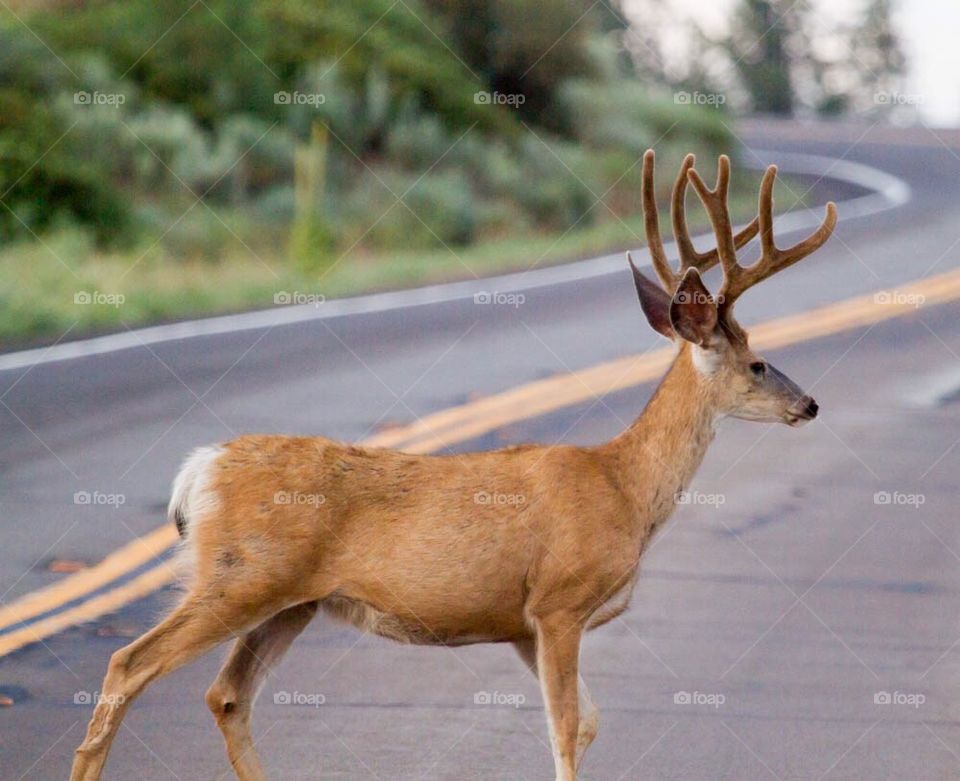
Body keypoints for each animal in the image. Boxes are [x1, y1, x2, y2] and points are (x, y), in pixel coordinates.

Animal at [70, 150, 836, 781]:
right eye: (758, 361)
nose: (810, 403)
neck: (624, 487)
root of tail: (201, 469)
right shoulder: (558, 601)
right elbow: (565, 727)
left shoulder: (524, 623)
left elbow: (585, 723)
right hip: (241, 576)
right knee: (127, 664)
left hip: (292, 599)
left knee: (227, 695)